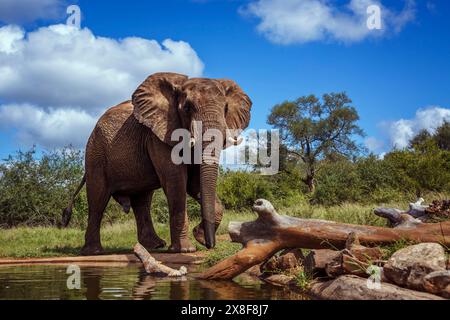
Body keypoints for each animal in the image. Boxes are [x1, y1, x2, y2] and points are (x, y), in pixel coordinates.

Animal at [60, 72, 251, 255]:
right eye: (187, 108)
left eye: (226, 108)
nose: (210, 245)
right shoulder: (159, 135)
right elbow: (176, 181)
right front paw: (185, 250)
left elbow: (194, 182)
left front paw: (198, 237)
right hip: (95, 154)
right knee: (98, 200)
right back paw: (94, 252)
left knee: (142, 201)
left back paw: (155, 245)